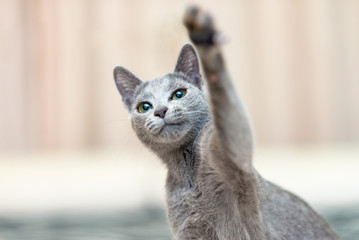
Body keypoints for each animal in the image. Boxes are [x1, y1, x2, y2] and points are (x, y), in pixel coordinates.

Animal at [114, 5, 340, 240]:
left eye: (179, 94)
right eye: (144, 107)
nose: (160, 111)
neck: (187, 173)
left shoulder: (234, 162)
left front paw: (204, 37)